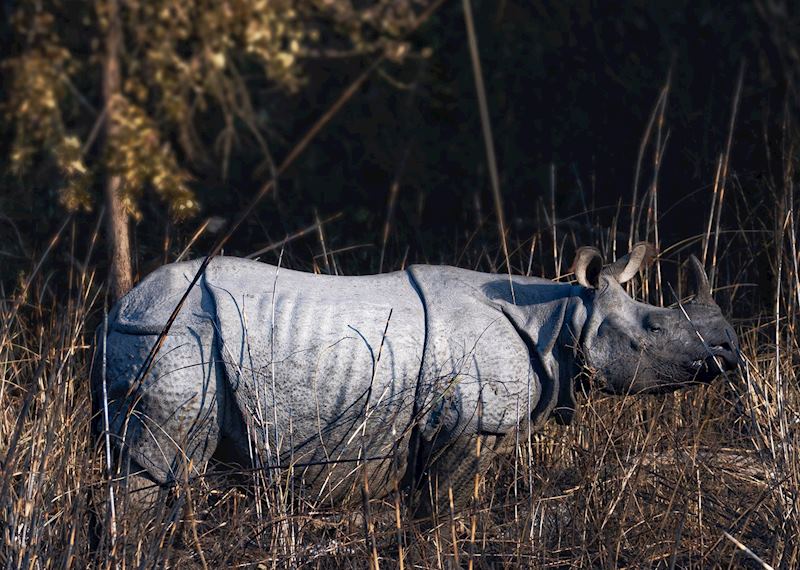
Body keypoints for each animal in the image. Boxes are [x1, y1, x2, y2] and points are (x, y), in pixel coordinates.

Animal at [92, 242, 738, 512]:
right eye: (655, 327)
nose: (731, 353)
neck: (560, 318)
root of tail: (120, 306)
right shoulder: (467, 427)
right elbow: (442, 509)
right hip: (172, 335)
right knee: (159, 469)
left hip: (154, 334)